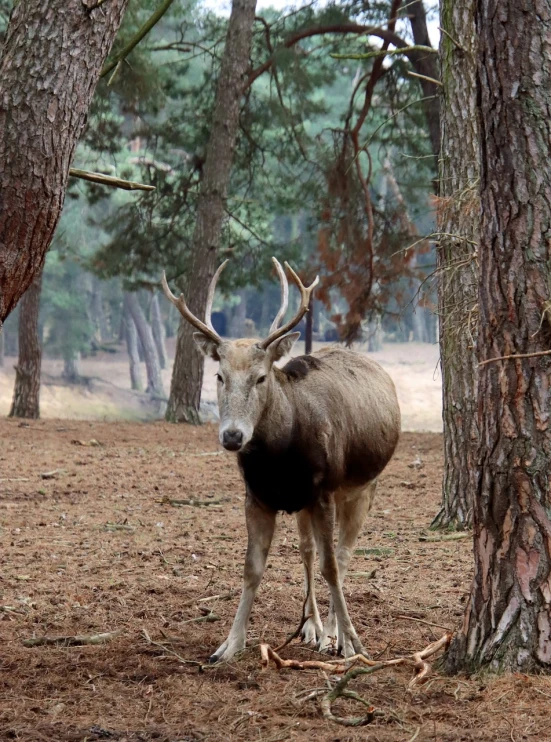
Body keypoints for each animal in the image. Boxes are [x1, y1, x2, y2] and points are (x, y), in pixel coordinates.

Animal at [161, 260, 402, 664]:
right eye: (219, 376)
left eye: (261, 377)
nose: (232, 436)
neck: (280, 461)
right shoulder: (257, 497)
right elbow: (253, 568)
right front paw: (229, 644)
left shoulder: (323, 490)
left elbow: (331, 567)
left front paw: (353, 642)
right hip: (305, 503)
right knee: (308, 551)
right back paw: (313, 627)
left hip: (362, 487)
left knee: (342, 554)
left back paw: (335, 632)